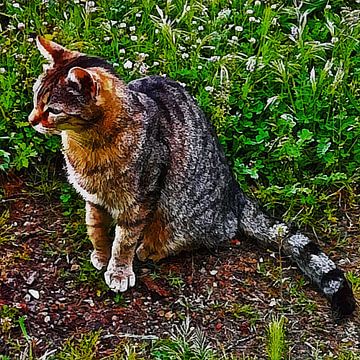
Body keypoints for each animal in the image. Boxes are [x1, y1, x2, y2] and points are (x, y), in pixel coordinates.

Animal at [28, 38, 354, 316]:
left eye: (52, 109)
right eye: (35, 99)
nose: (31, 120)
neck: (87, 144)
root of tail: (235, 193)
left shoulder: (141, 199)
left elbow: (124, 240)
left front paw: (118, 268)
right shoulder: (94, 198)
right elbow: (96, 228)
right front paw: (100, 253)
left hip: (181, 217)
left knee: (207, 235)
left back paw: (149, 249)